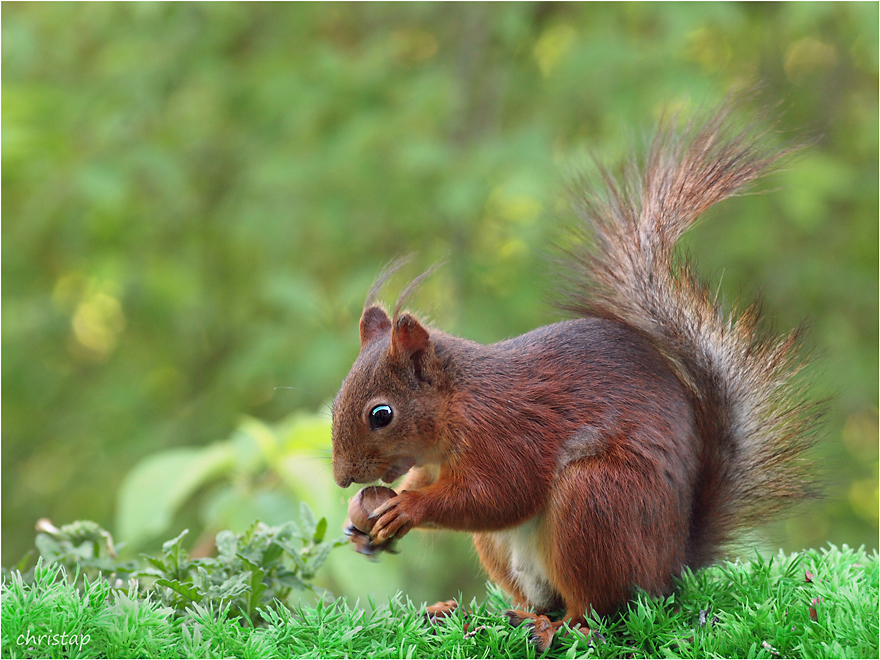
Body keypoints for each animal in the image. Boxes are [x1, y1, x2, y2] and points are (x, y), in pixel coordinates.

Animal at [328, 103, 820, 648]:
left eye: (382, 414)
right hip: (512, 550)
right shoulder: (438, 460)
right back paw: (477, 612)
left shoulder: (505, 433)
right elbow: (431, 480)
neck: (457, 402)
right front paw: (363, 525)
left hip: (595, 502)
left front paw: (407, 509)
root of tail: (672, 569)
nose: (342, 477)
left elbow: (499, 494)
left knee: (598, 609)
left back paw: (556, 628)